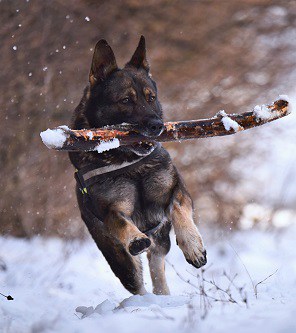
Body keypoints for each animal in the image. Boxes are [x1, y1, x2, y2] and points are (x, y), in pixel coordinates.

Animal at [69, 36, 207, 294]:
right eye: (125, 100)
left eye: (150, 97)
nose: (157, 126)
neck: (130, 164)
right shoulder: (111, 210)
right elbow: (122, 223)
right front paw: (134, 237)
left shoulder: (177, 190)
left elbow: (179, 210)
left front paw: (193, 245)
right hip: (120, 260)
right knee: (137, 280)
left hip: (160, 241)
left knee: (157, 264)